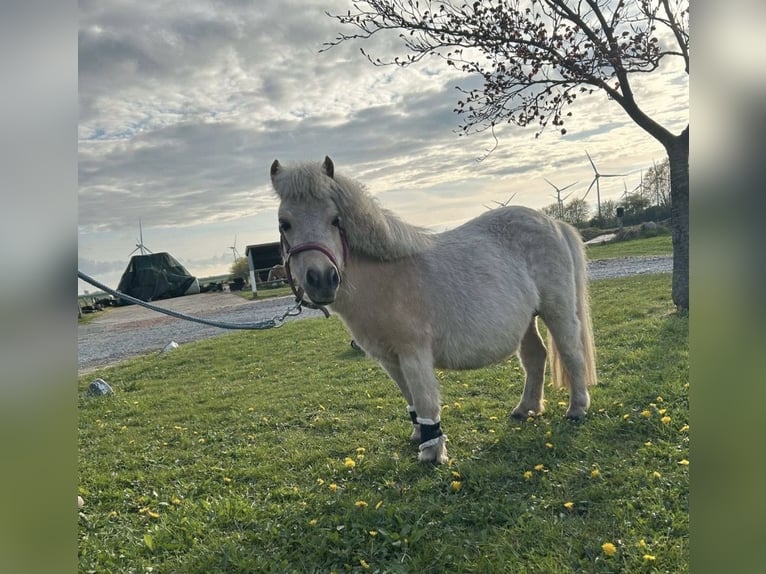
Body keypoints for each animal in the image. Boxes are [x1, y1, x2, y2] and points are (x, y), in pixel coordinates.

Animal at [270, 156, 597, 464]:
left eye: (335, 220)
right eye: (284, 223)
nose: (322, 279)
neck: (386, 277)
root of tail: (554, 223)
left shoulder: (414, 354)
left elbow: (426, 399)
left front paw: (432, 453)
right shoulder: (389, 360)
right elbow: (411, 398)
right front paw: (419, 435)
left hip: (558, 311)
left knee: (571, 353)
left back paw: (577, 409)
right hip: (527, 320)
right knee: (534, 357)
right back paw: (526, 409)